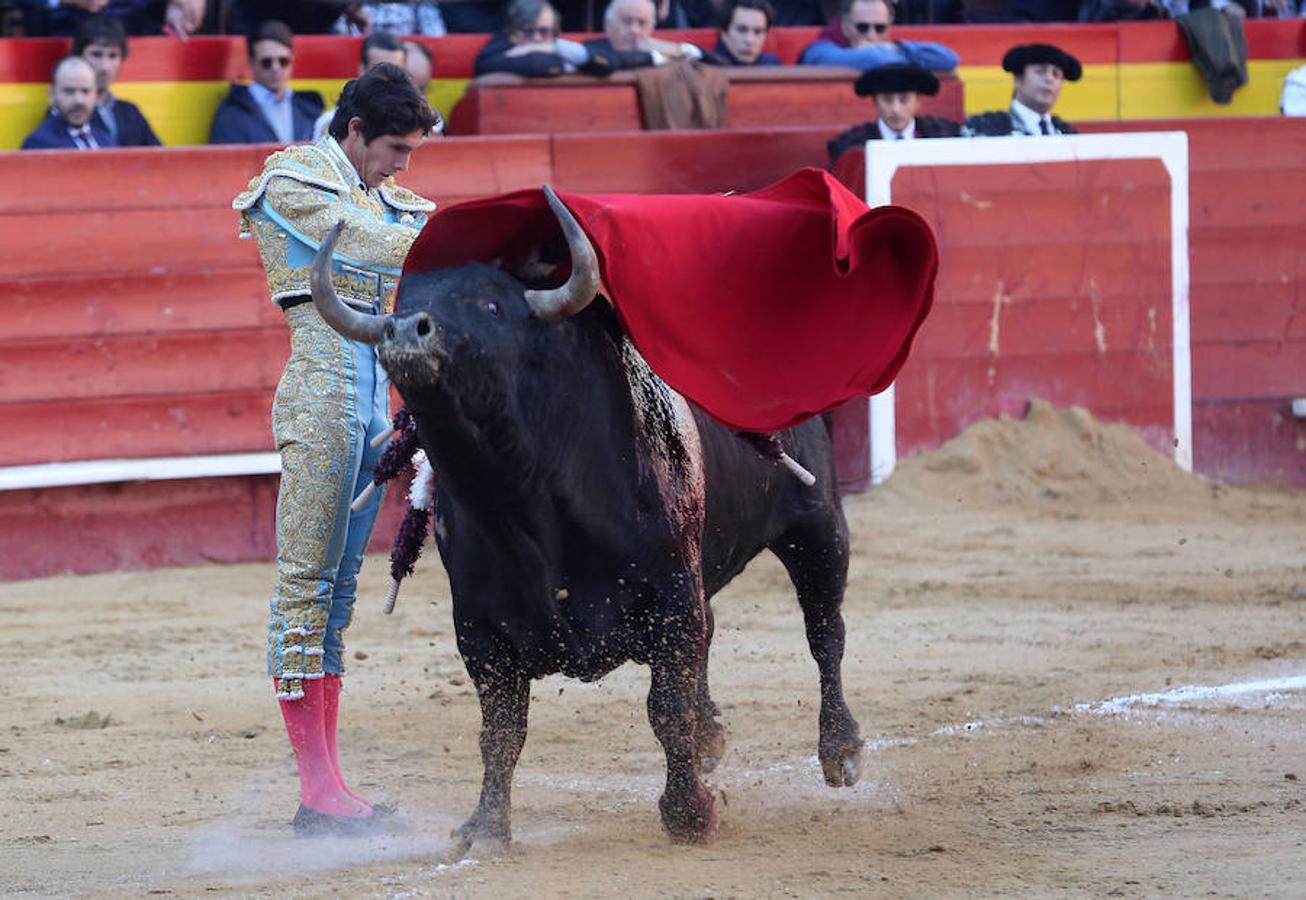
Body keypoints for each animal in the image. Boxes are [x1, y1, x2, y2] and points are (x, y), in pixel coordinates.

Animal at [313, 189, 867, 851]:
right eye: (404, 303)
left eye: (492, 304)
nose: (405, 332)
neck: (522, 501)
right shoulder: (479, 631)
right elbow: (501, 731)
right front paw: (485, 828)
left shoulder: (671, 599)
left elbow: (666, 709)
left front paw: (689, 815)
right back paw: (713, 738)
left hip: (818, 528)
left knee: (825, 631)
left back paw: (841, 750)